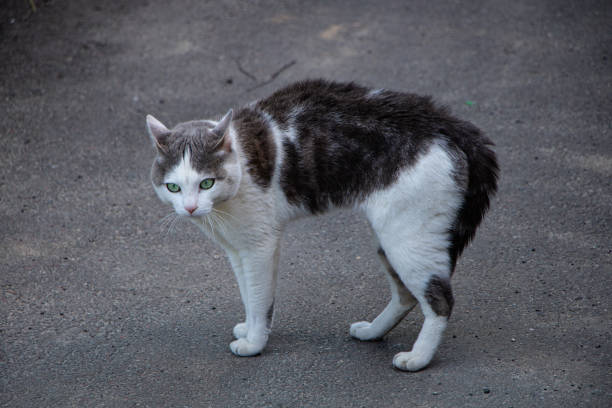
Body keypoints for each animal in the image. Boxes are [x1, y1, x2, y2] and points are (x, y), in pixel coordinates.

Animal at [146, 78, 500, 372]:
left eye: (206, 183)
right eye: (173, 187)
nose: (190, 208)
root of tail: (448, 124)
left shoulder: (260, 246)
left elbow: (259, 299)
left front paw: (255, 341)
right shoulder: (237, 249)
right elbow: (247, 294)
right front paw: (248, 327)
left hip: (407, 240)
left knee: (439, 300)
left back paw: (418, 358)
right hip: (390, 241)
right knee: (406, 295)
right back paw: (373, 332)